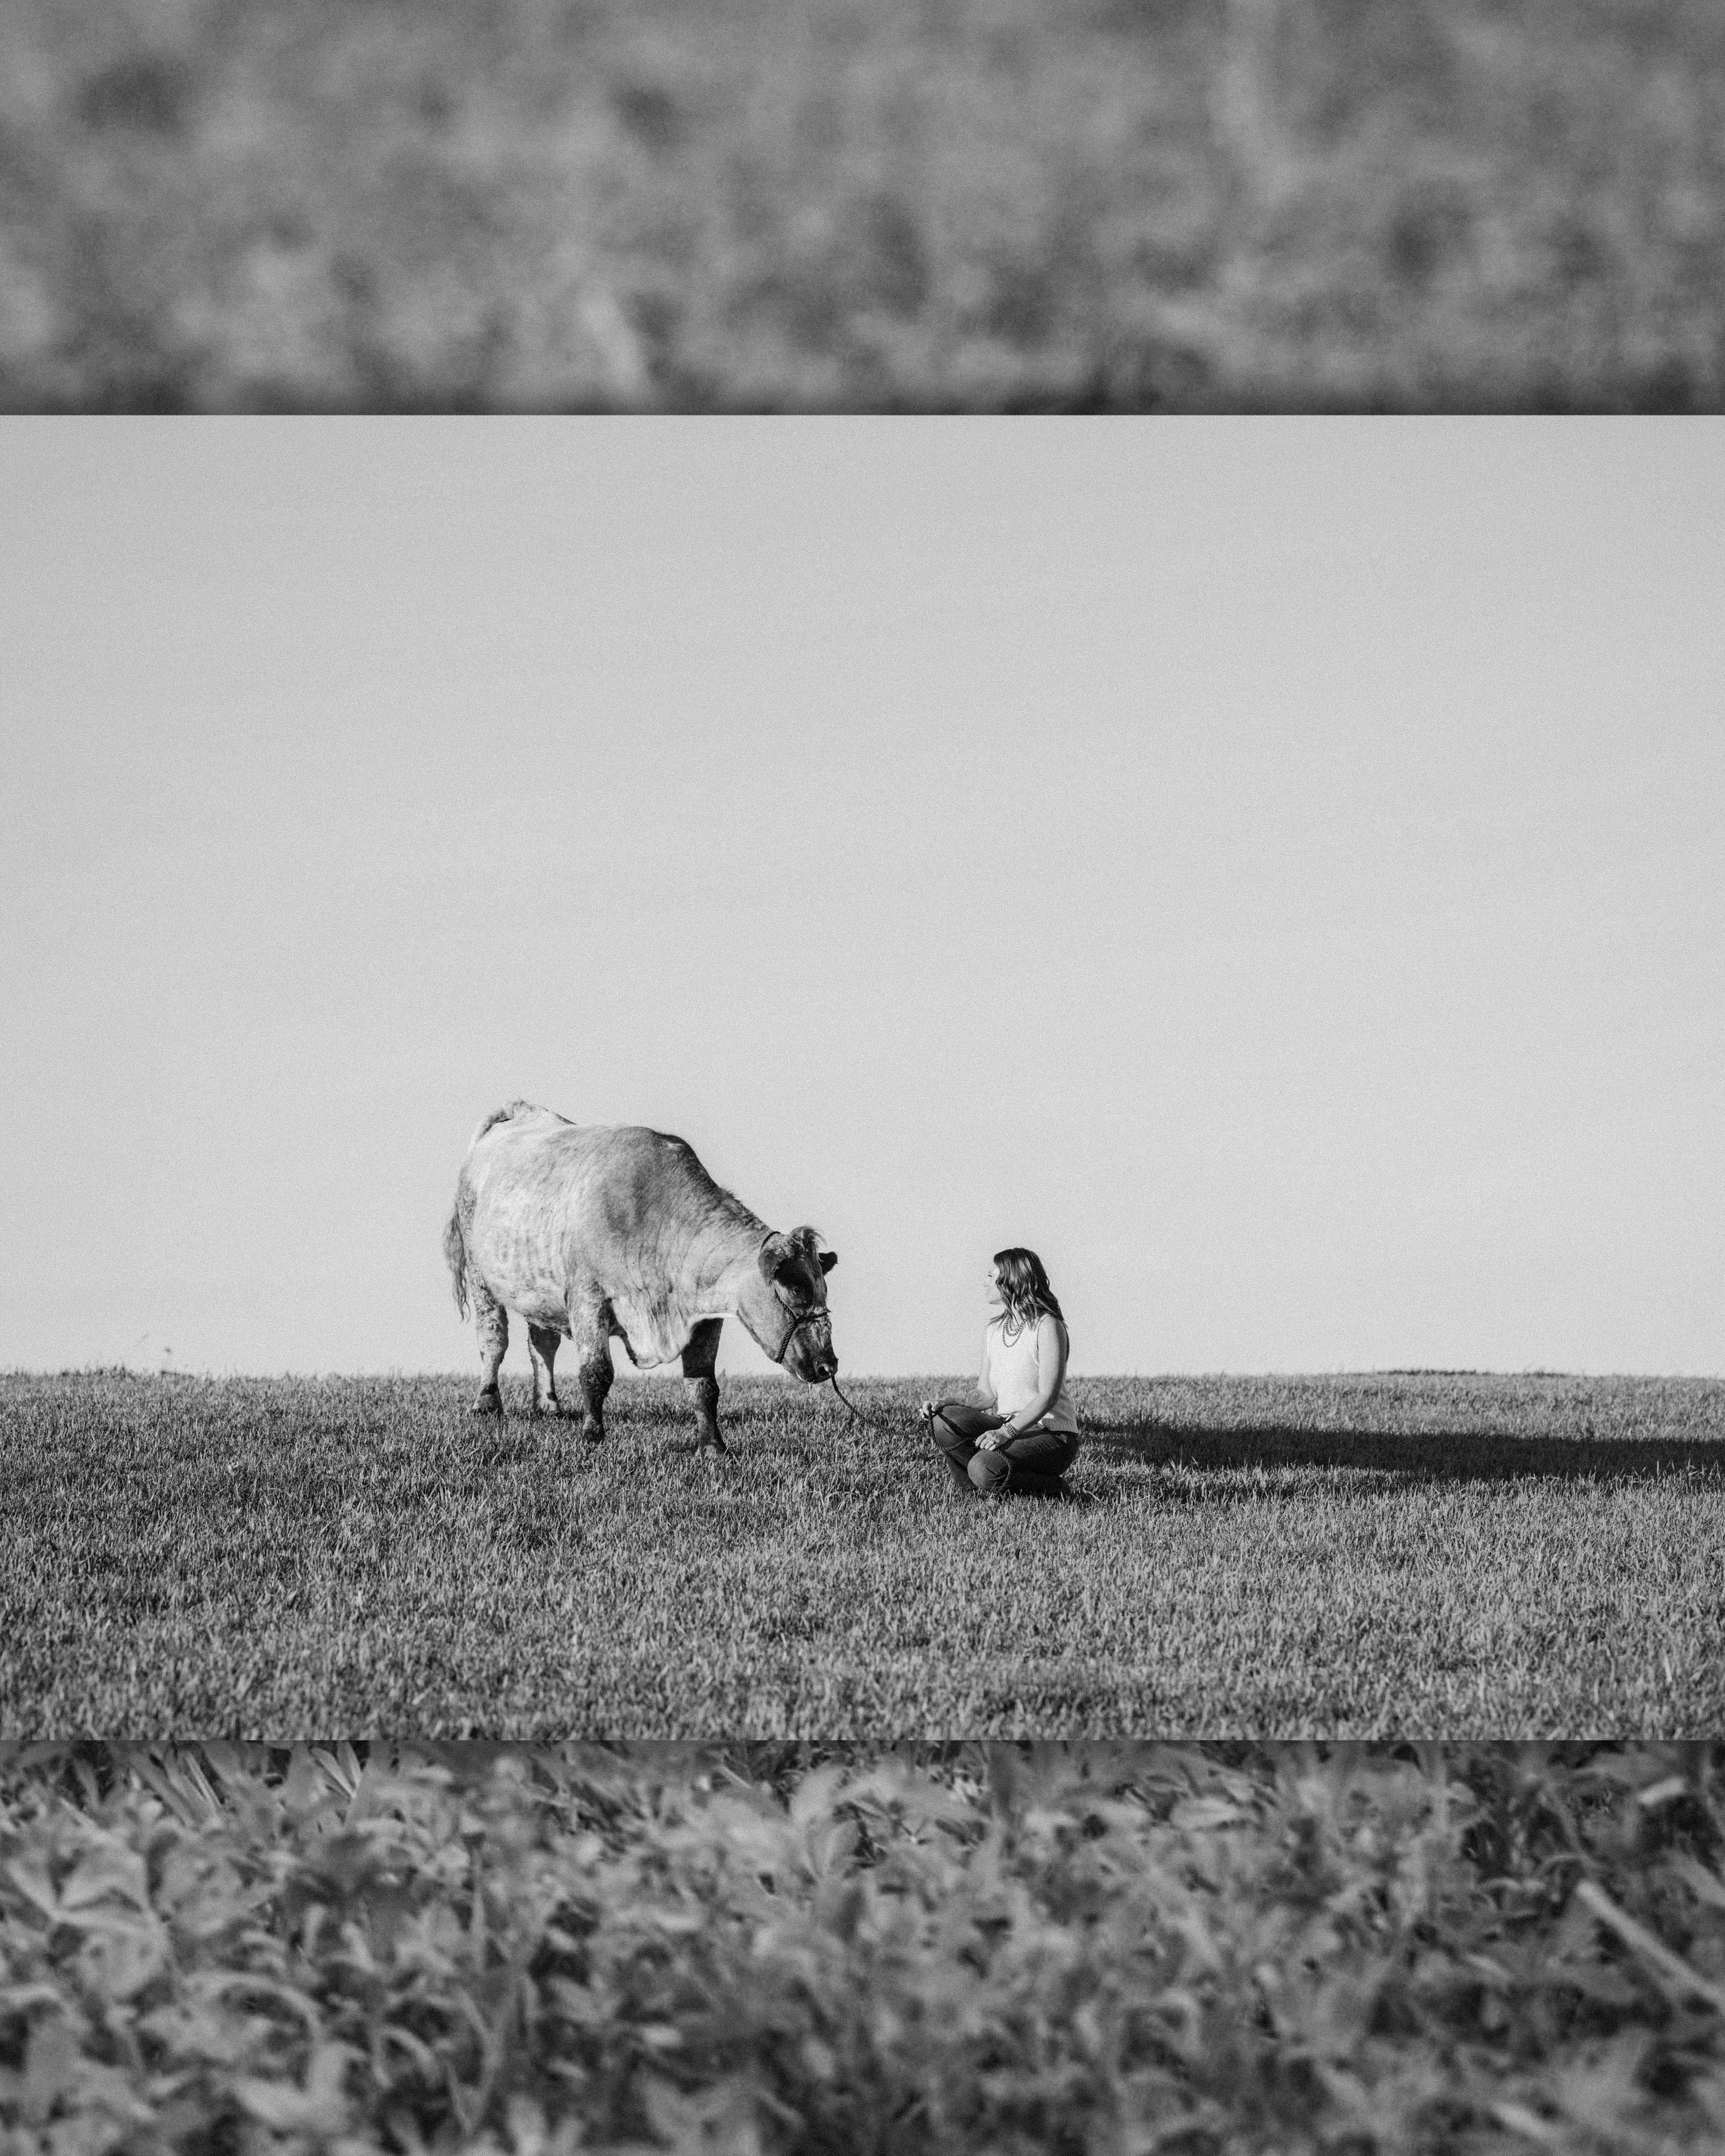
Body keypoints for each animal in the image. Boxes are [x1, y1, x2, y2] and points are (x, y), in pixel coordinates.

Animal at [442, 1100, 838, 1453]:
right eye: (795, 1289)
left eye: (822, 1290)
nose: (828, 1365)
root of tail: (518, 1110)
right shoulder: (588, 1299)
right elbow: (596, 1373)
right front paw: (592, 1436)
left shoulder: (705, 1318)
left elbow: (703, 1386)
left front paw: (713, 1446)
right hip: (480, 1276)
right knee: (493, 1339)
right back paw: (487, 1403)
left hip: (538, 1289)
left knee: (542, 1343)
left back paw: (549, 1405)